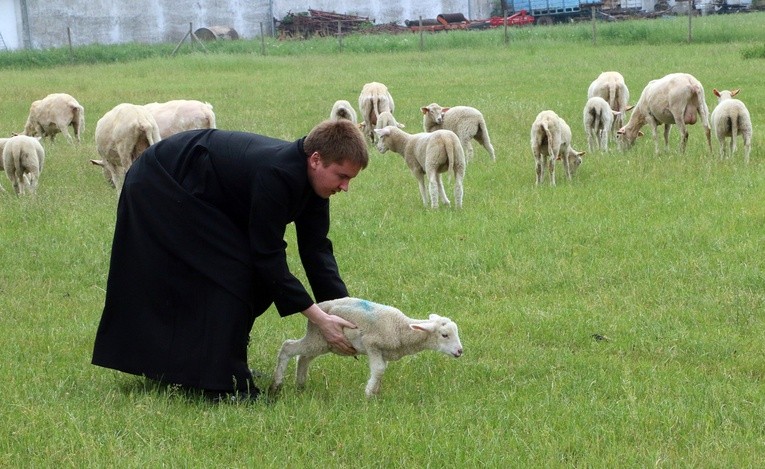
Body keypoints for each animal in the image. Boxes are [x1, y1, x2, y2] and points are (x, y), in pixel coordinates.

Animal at [268, 298, 462, 396]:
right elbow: (379, 369)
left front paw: (376, 392)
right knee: (288, 347)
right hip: (318, 337)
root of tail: (317, 307)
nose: (460, 351)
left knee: (303, 357)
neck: (400, 328)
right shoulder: (372, 343)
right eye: (444, 335)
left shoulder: (383, 352)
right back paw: (277, 384)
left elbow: (381, 371)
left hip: (322, 342)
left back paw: (301, 385)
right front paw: (368, 394)